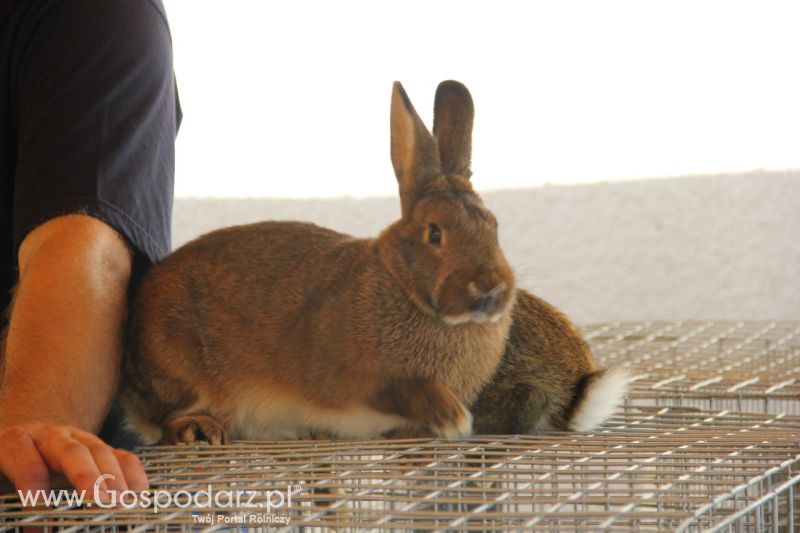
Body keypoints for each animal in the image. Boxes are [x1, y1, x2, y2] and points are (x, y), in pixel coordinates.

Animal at [122, 80, 516, 444]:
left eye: (494, 226)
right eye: (434, 234)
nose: (491, 286)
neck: (403, 286)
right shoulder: (349, 378)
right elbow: (400, 388)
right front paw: (452, 416)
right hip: (179, 366)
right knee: (165, 420)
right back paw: (198, 429)